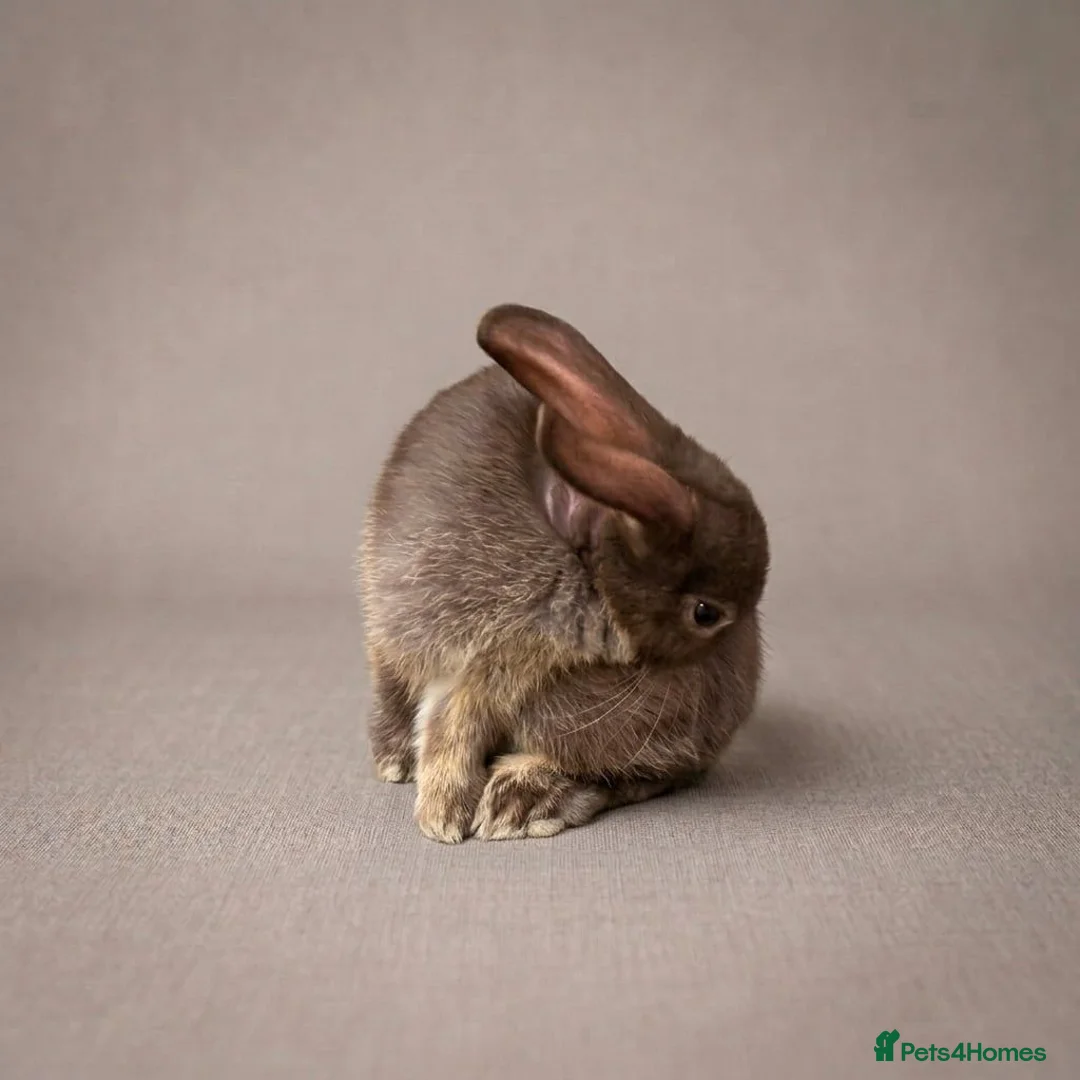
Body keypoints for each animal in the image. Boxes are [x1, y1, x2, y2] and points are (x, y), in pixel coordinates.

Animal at [358, 303, 769, 843]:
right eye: (706, 613)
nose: (735, 687)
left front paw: (453, 813)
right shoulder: (484, 660)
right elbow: (451, 726)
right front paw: (444, 819)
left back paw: (520, 804)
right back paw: (407, 766)